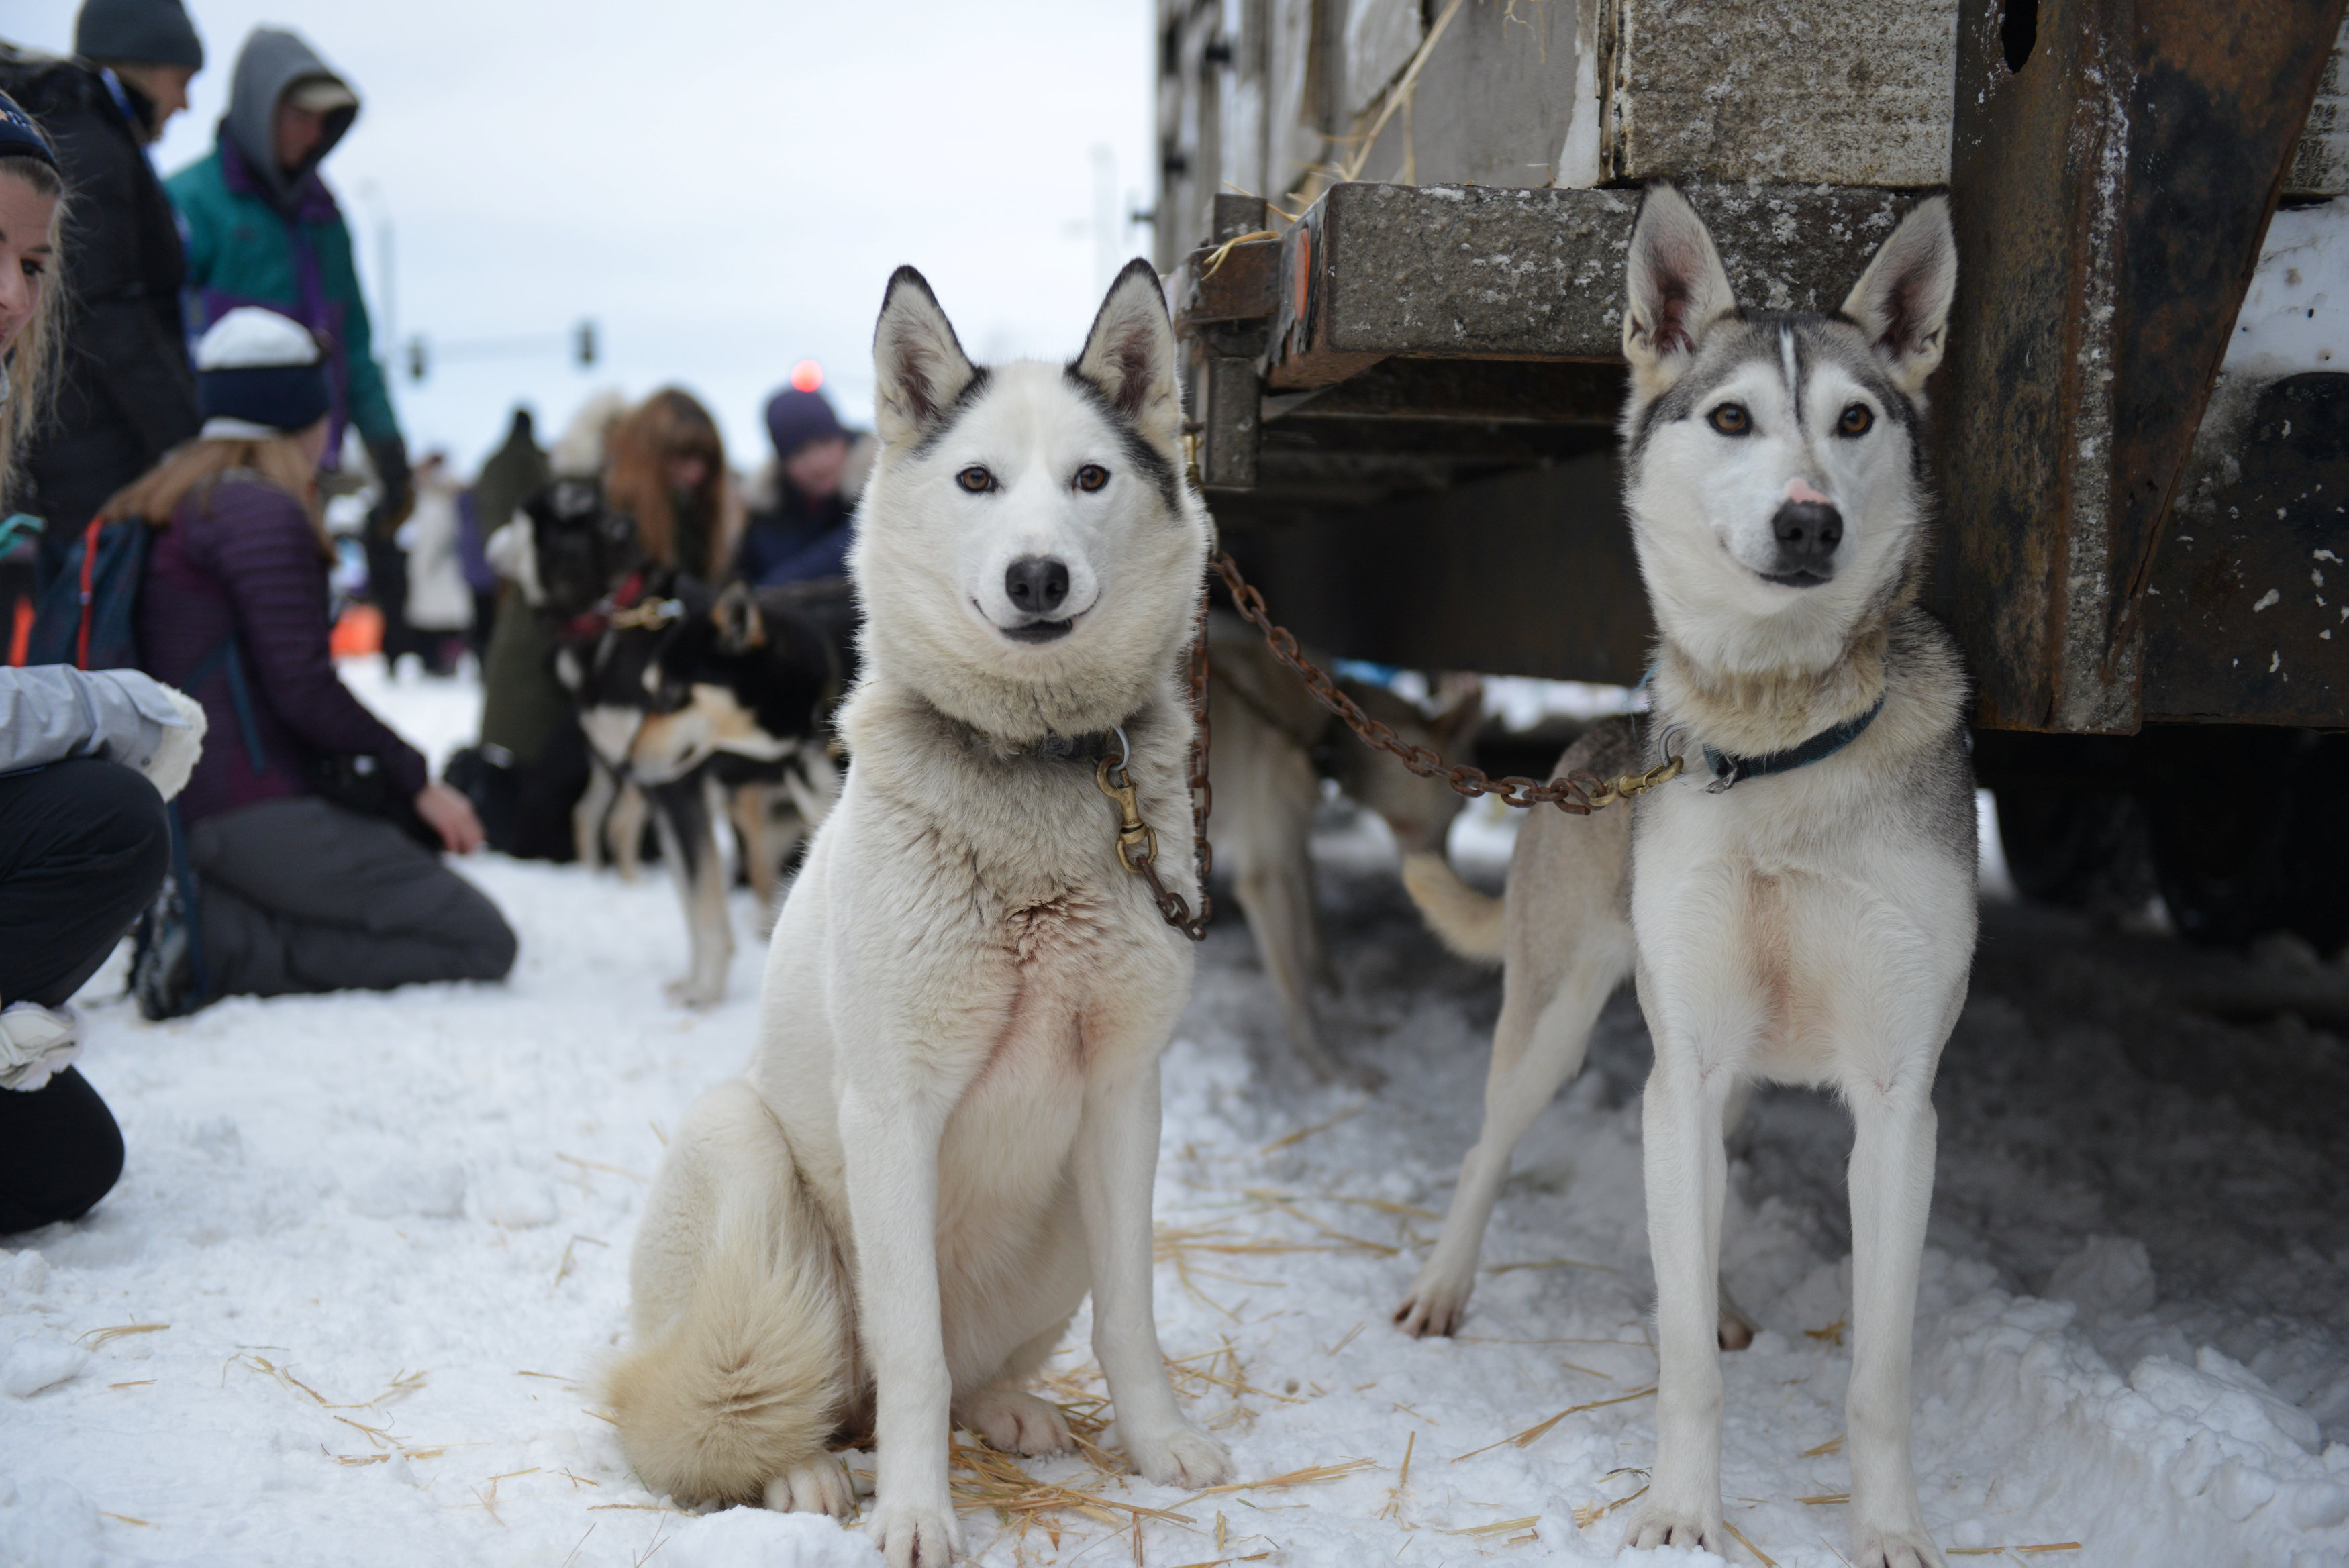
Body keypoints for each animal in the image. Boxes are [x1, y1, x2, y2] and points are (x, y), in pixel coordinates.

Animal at [606, 257, 1231, 1559]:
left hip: (1056, 1228)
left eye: (1091, 478)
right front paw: (914, 1512)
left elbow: (1133, 1317)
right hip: (741, 1147)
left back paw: (1008, 1408)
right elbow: (911, 1356)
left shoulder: (1125, 1091)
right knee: (775, 1405)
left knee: (980, 1362)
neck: (1039, 767)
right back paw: (806, 1471)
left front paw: (1157, 1447)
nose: (1037, 575)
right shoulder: (893, 1108)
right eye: (978, 480)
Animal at [1400, 187, 1973, 1568]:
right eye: (1732, 418)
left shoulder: (1898, 1103)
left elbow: (1878, 1372)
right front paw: (1679, 1513)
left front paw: (1887, 1530)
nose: (1810, 518)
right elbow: (1678, 1361)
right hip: (1554, 1018)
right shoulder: (1688, 1061)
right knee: (1491, 1145)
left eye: (1856, 419)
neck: (1777, 745)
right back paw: (1444, 1285)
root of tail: (1600, 741)